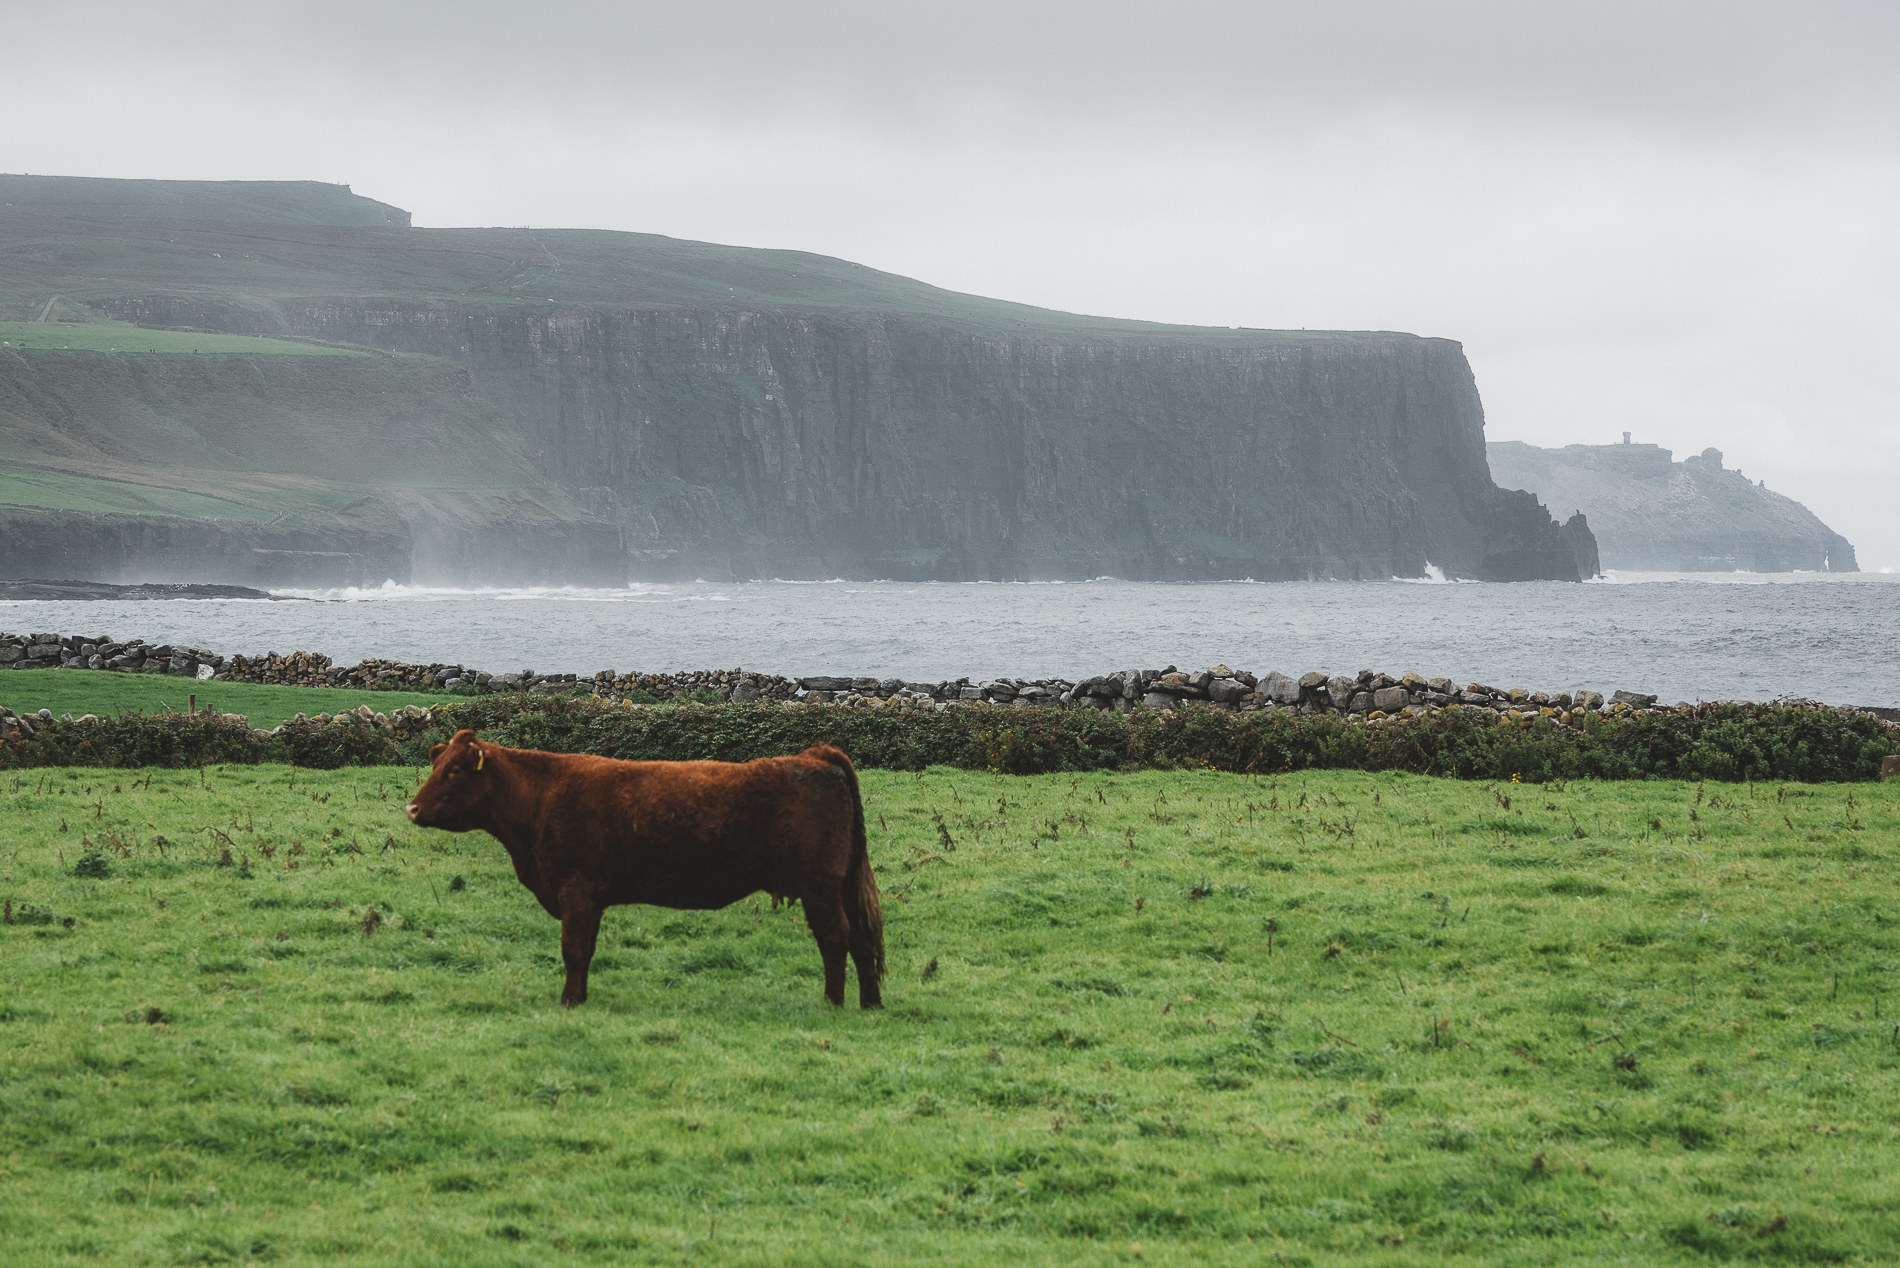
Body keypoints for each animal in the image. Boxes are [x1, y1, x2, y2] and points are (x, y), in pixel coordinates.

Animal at [408, 733, 881, 1011]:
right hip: (838, 886)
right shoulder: (588, 899)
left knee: (836, 938)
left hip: (820, 887)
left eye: (454, 769)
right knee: (861, 939)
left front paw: (569, 1001)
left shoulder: (577, 890)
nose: (412, 808)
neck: (541, 797)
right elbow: (585, 950)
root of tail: (816, 755)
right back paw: (870, 1001)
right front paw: (579, 997)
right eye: (436, 765)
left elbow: (573, 950)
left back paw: (833, 1001)